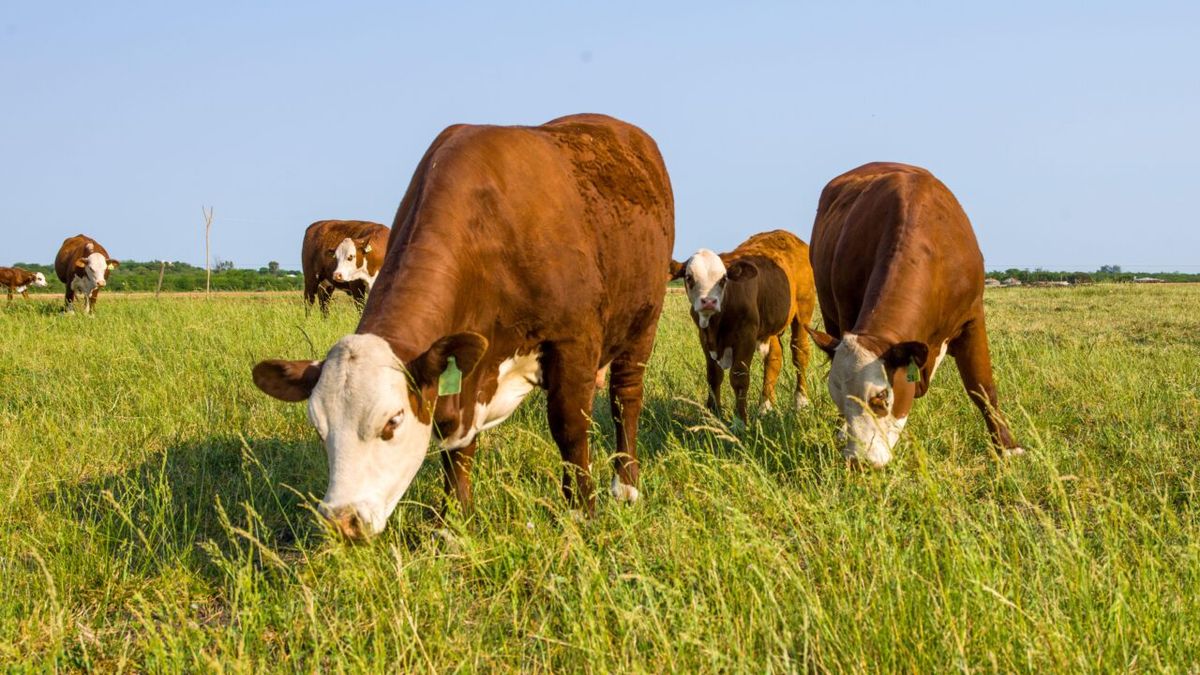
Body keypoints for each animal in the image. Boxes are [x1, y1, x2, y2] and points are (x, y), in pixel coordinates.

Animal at [252, 112, 676, 538]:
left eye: (392, 422)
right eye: (319, 429)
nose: (343, 521)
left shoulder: (574, 342)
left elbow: (570, 426)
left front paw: (581, 512)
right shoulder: (463, 368)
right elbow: (456, 443)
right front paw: (453, 523)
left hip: (644, 322)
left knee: (625, 400)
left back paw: (626, 486)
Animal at [672, 230, 820, 420]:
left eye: (723, 279)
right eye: (689, 277)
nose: (709, 302)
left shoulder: (746, 336)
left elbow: (739, 378)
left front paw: (740, 420)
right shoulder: (704, 337)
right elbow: (713, 376)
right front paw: (713, 414)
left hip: (803, 312)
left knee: (799, 353)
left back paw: (801, 402)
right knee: (774, 358)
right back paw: (765, 407)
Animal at [806, 163, 1022, 468]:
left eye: (881, 396)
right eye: (837, 397)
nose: (857, 461)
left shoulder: (972, 318)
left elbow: (982, 388)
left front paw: (1007, 448)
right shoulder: (848, 315)